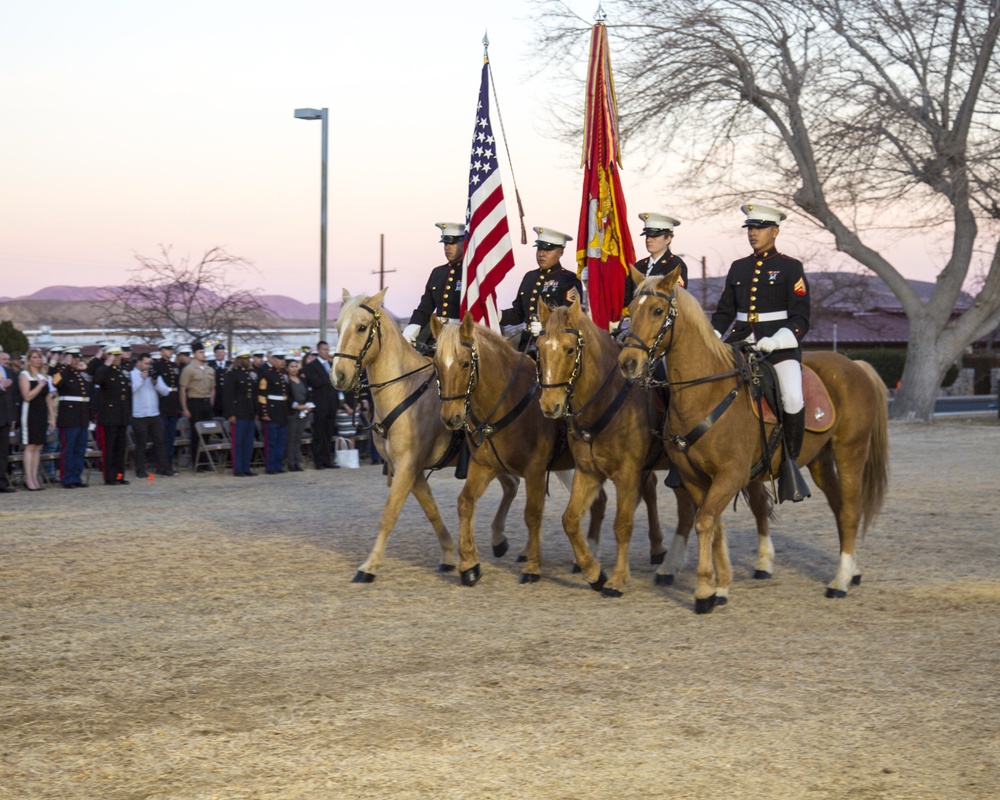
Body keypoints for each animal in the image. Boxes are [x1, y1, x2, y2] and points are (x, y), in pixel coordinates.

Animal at [336, 288, 520, 580]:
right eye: (338, 326)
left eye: (362, 327)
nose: (339, 376)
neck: (403, 391)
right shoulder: (413, 471)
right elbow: (432, 512)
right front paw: (449, 555)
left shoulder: (407, 466)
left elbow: (389, 513)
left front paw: (369, 566)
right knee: (512, 485)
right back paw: (498, 541)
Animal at [428, 316, 664, 584]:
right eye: (436, 364)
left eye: (465, 363)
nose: (451, 418)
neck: (505, 399)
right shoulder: (483, 466)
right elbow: (465, 503)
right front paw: (469, 564)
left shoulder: (535, 470)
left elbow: (532, 514)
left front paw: (533, 567)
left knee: (645, 491)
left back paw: (654, 550)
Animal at [536, 298, 692, 592]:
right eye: (539, 349)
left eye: (570, 349)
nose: (550, 405)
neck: (603, 400)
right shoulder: (588, 471)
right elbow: (570, 519)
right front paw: (594, 571)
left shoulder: (627, 473)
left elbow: (622, 522)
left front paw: (617, 578)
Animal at [616, 268, 892, 612]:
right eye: (630, 310)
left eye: (657, 311)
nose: (627, 363)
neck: (707, 392)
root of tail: (856, 366)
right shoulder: (696, 477)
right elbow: (713, 525)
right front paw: (720, 586)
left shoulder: (730, 475)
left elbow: (704, 522)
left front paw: (704, 591)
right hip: (820, 461)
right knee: (840, 507)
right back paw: (851, 571)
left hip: (850, 452)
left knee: (851, 510)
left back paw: (839, 581)